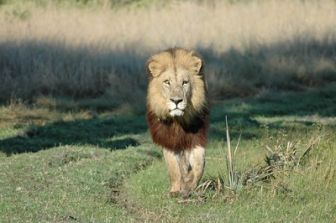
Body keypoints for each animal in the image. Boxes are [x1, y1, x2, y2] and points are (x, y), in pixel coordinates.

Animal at [146, 47, 209, 197]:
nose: (176, 101)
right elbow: (174, 168)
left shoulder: (196, 138)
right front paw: (175, 190)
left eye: (185, 82)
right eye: (167, 82)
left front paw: (189, 185)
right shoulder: (168, 141)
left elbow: (199, 165)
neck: (178, 121)